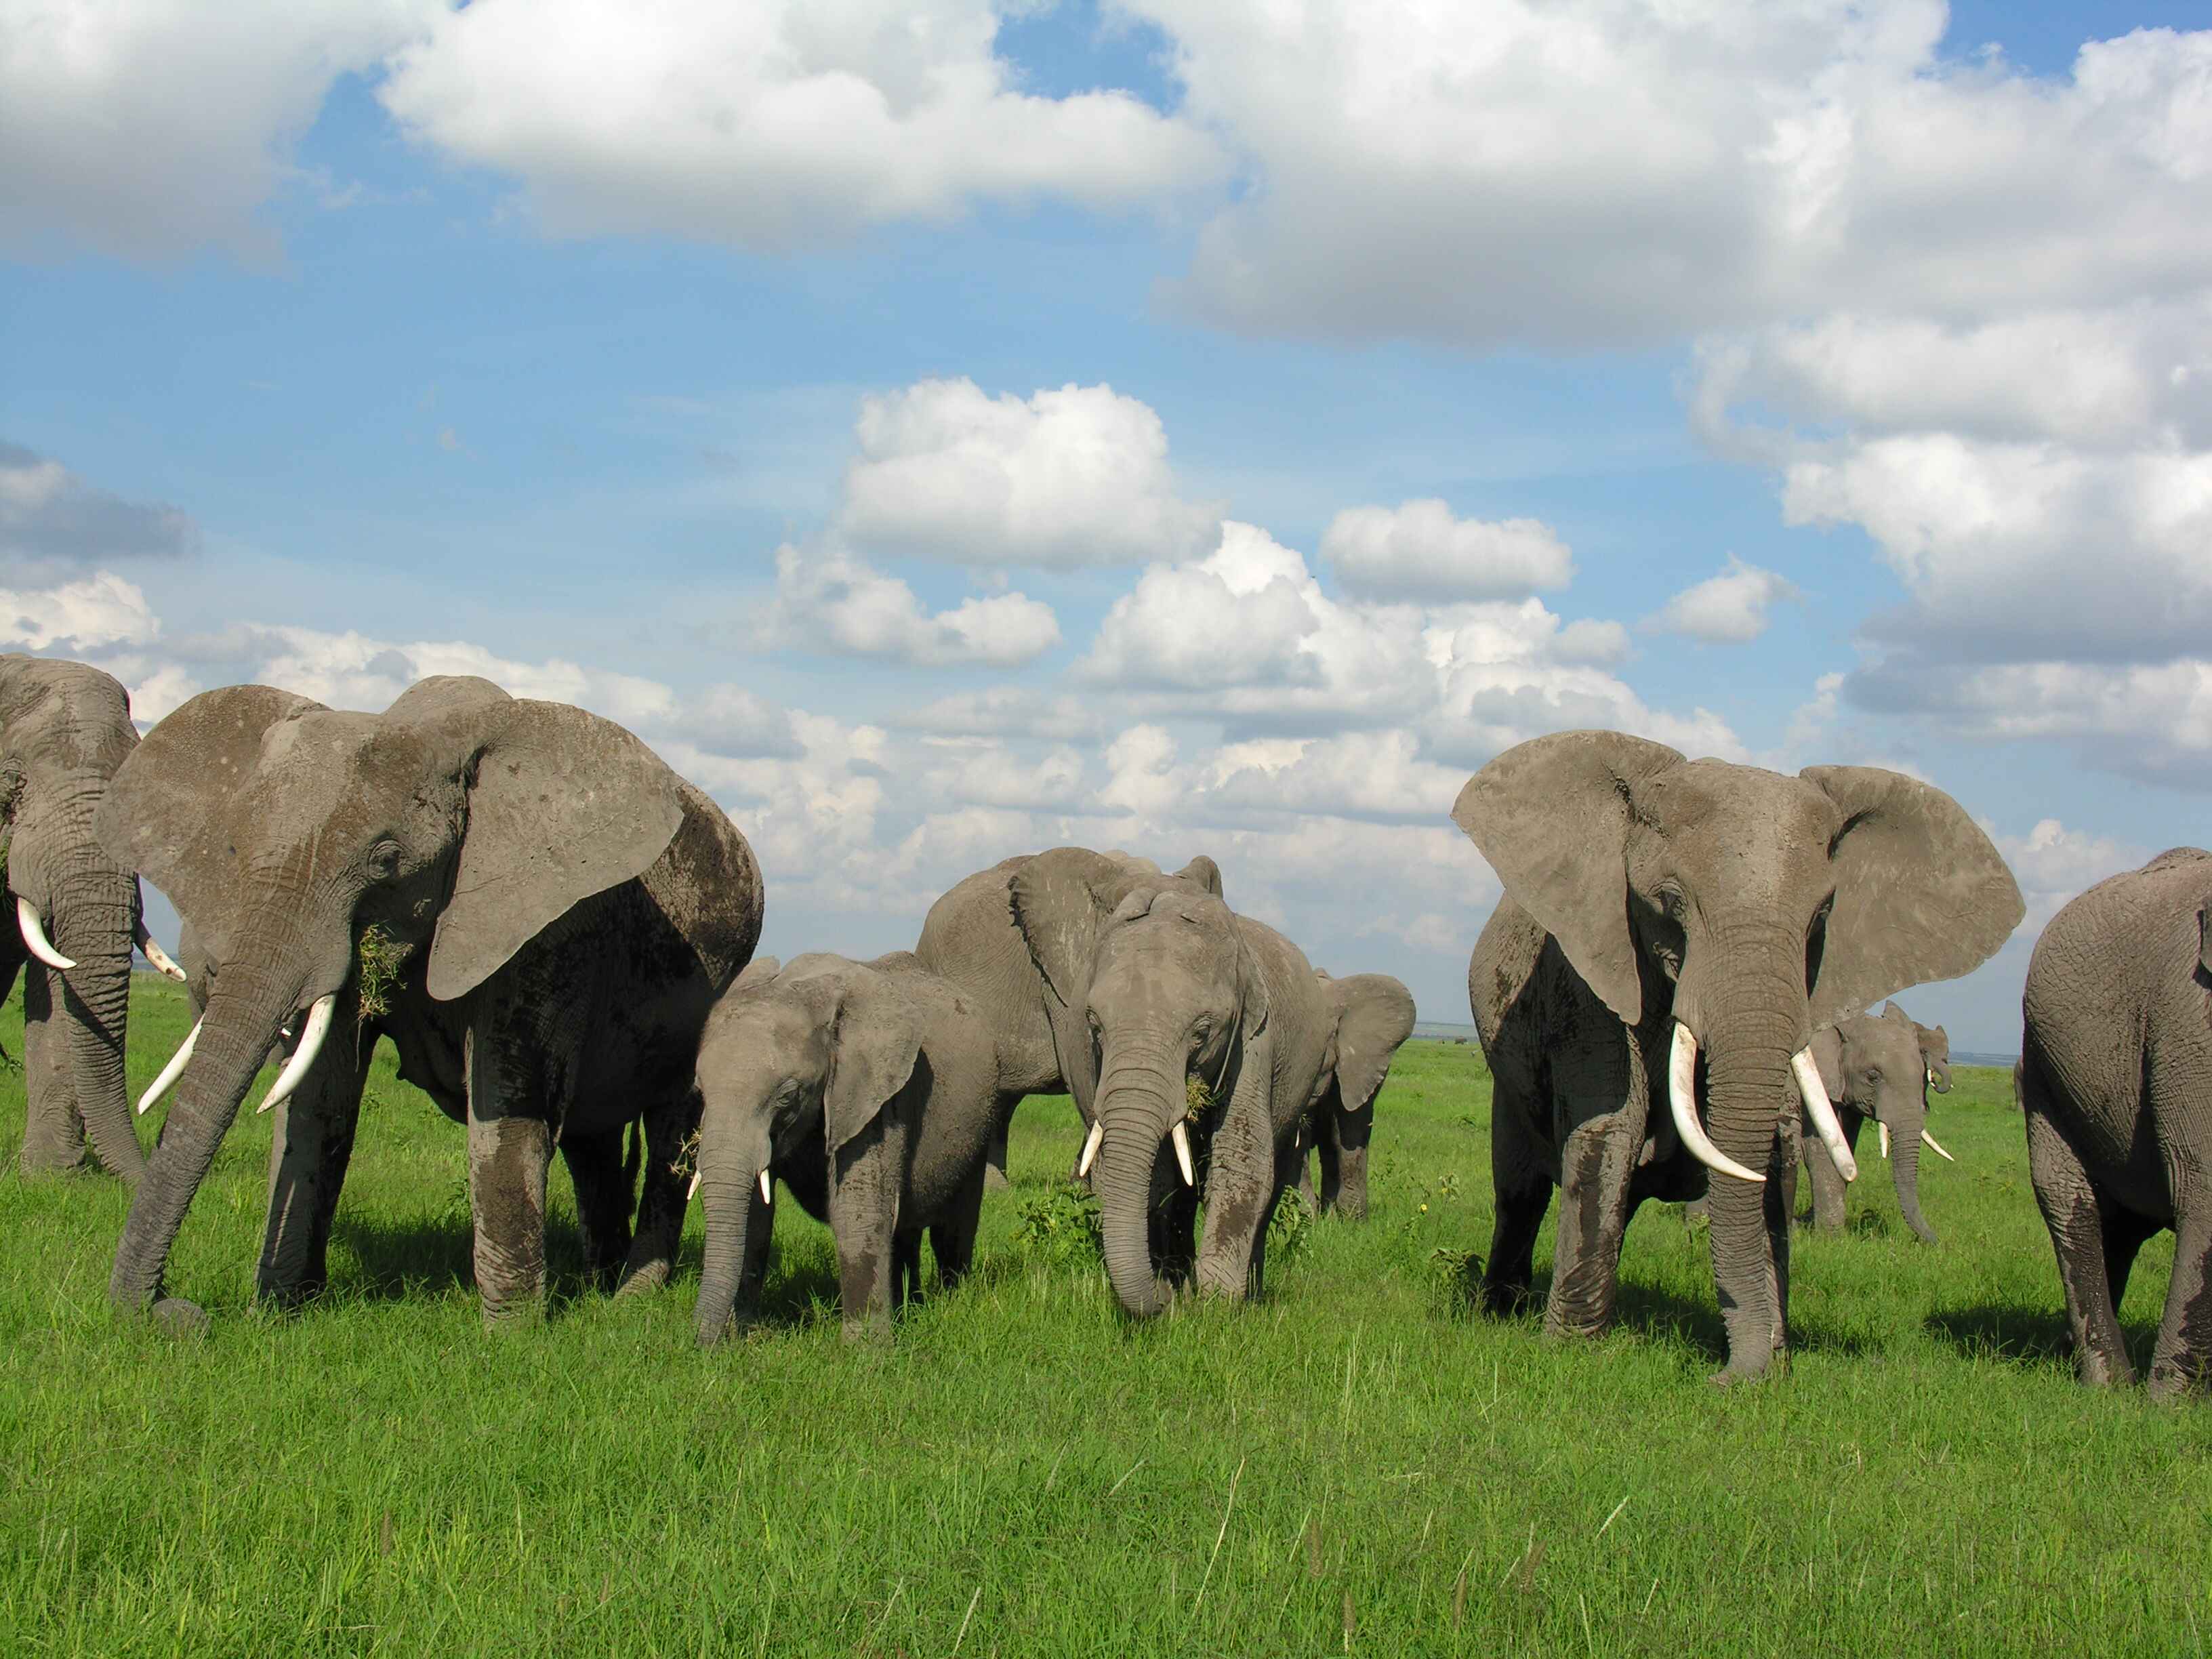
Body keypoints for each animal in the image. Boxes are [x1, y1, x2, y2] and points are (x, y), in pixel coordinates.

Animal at [96, 675, 763, 1327]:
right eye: (234, 850)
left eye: (387, 862)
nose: (174, 1313)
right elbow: (319, 1102)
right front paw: (281, 1310)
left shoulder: (547, 925)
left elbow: (507, 1108)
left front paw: (513, 1336)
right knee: (590, 1141)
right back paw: (599, 1281)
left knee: (670, 1135)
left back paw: (632, 1298)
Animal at [690, 950, 1001, 1344]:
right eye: (700, 1092)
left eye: (788, 1096)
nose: (700, 1344)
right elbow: (755, 1216)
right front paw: (745, 1332)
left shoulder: (875, 1094)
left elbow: (856, 1209)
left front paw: (865, 1350)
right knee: (906, 1229)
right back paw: (910, 1307)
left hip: (982, 1118)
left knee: (953, 1229)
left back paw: (950, 1301)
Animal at [1003, 851, 1333, 1316]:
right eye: (1094, 1026)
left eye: (1202, 1032)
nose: (1160, 1297)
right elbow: (1156, 1177)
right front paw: (1178, 1296)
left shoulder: (1254, 1039)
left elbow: (1241, 1160)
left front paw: (1216, 1308)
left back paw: (1247, 1292)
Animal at [1798, 1001, 1956, 1242]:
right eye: (1873, 1076)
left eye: (1922, 1073)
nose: (1936, 1241)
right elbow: (1821, 1150)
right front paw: (1830, 1239)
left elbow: (1846, 1145)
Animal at [2017, 847, 2212, 1397]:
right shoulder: (2193, 1028)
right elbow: (2203, 1186)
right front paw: (2169, 1408)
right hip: (2042, 1062)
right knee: (2069, 1198)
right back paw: (2110, 1386)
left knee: (2122, 1227)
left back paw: (2067, 1355)